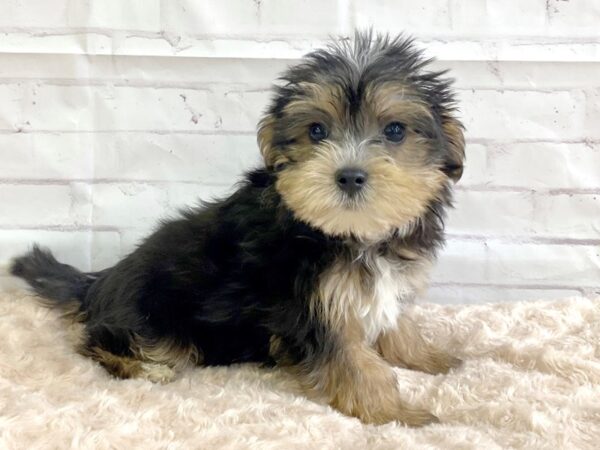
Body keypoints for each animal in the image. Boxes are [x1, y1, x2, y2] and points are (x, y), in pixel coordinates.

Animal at [11, 31, 466, 426]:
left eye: (395, 131)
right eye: (316, 130)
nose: (350, 176)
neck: (353, 235)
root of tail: (97, 282)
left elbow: (397, 323)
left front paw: (431, 357)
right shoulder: (309, 309)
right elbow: (354, 362)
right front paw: (396, 414)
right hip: (156, 320)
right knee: (96, 342)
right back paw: (147, 368)